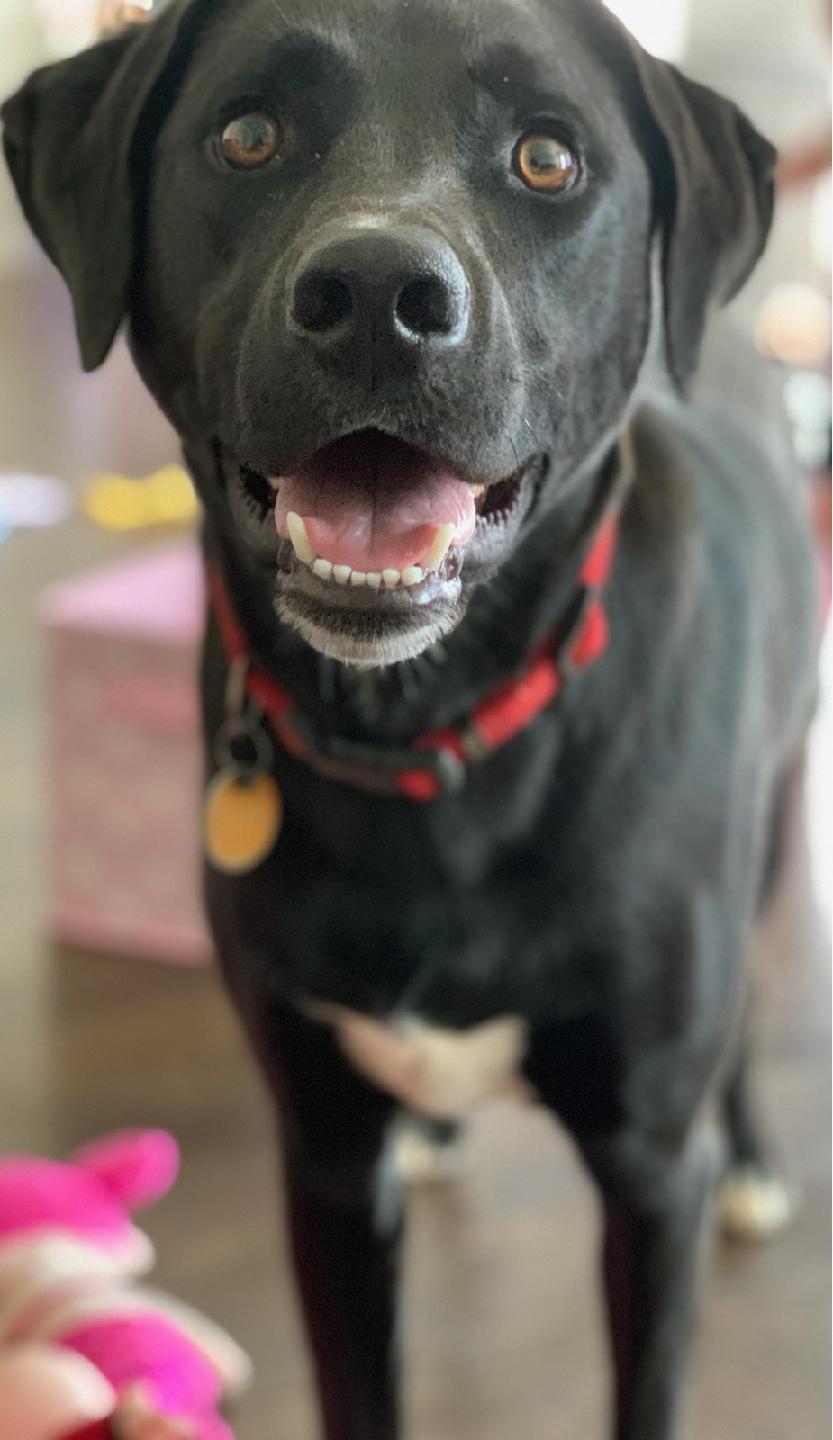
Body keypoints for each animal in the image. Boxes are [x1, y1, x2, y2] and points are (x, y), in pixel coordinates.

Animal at [3, 2, 812, 1440]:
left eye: (547, 157)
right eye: (247, 134)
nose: (378, 298)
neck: (424, 732)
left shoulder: (646, 1176)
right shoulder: (321, 1156)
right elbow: (355, 1383)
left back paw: (758, 1158)